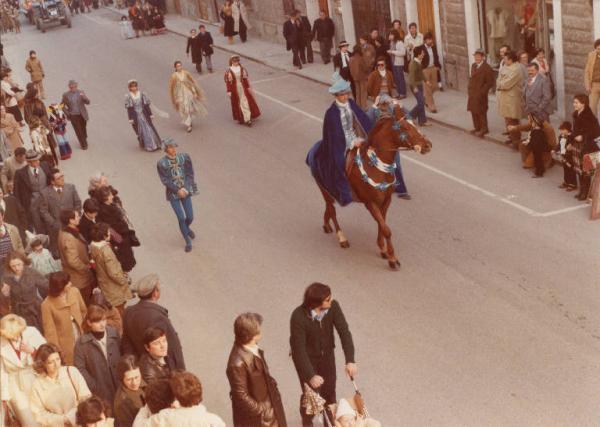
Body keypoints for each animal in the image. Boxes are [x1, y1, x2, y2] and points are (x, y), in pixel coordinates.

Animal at [318, 109, 432, 270]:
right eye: (405, 128)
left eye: (414, 124)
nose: (428, 145)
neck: (377, 168)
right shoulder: (370, 203)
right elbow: (386, 229)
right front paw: (392, 258)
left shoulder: (386, 200)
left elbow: (382, 224)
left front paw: (382, 249)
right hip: (324, 189)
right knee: (332, 211)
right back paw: (342, 238)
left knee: (329, 208)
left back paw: (326, 224)